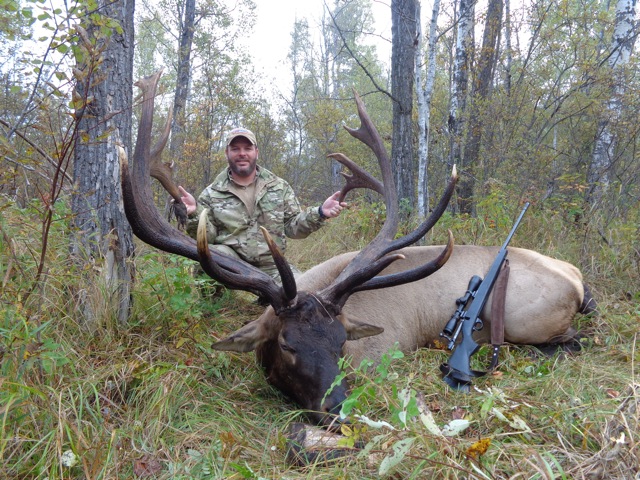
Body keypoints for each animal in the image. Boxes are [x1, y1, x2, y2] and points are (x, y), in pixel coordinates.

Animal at [121, 71, 595, 428]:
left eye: (340, 342)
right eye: (287, 343)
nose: (337, 409)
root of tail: (577, 280)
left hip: (527, 320)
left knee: (570, 341)